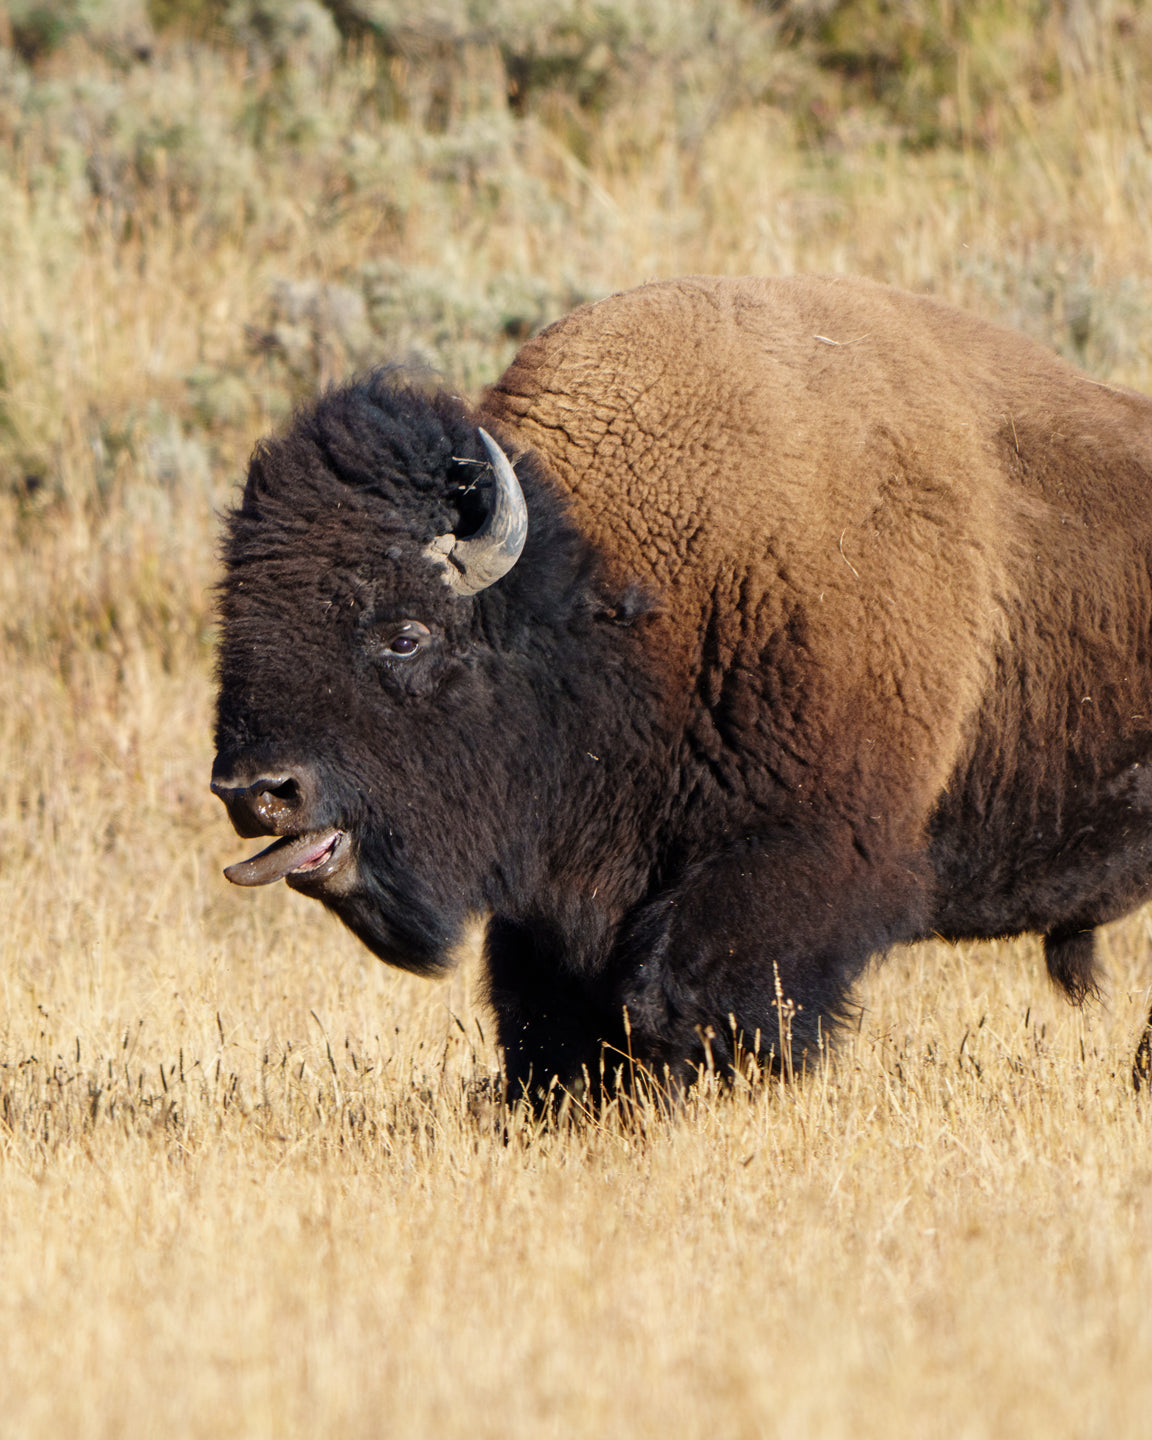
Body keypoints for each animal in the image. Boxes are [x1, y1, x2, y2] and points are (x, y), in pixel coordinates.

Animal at [211, 274, 1152, 1099]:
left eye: (406, 634)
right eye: (235, 617)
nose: (257, 790)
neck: (630, 590)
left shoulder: (797, 852)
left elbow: (691, 998)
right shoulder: (563, 899)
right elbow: (547, 1017)